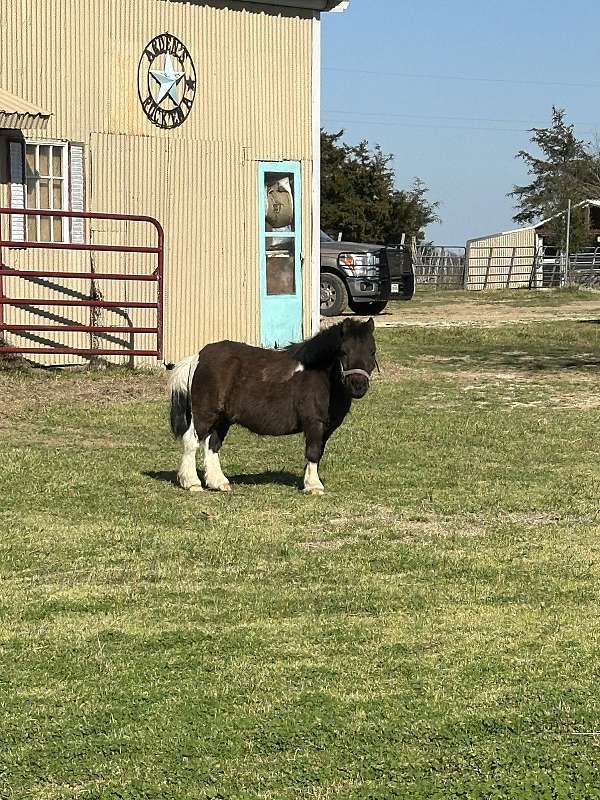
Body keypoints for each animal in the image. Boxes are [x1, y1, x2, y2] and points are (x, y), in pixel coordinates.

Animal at [169, 318, 376, 494]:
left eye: (372, 351)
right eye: (344, 351)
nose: (358, 385)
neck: (320, 375)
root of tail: (198, 357)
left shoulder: (327, 427)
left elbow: (318, 452)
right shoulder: (314, 423)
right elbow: (313, 451)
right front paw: (314, 486)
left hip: (222, 419)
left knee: (212, 444)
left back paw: (218, 482)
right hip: (204, 414)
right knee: (191, 441)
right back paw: (191, 483)